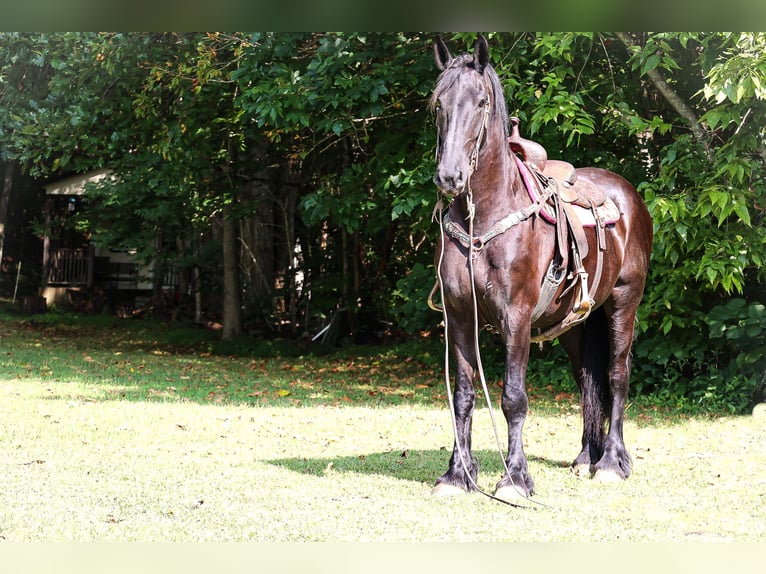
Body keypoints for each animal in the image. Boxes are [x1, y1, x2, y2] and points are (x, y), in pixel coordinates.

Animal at [432, 36, 656, 502]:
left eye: (481, 102)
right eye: (438, 104)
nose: (450, 177)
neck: (486, 216)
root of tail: (628, 195)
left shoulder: (516, 317)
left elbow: (513, 398)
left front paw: (515, 478)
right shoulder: (459, 316)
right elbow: (462, 395)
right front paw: (458, 475)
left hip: (623, 303)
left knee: (617, 375)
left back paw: (611, 462)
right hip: (573, 324)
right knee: (588, 378)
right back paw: (586, 457)